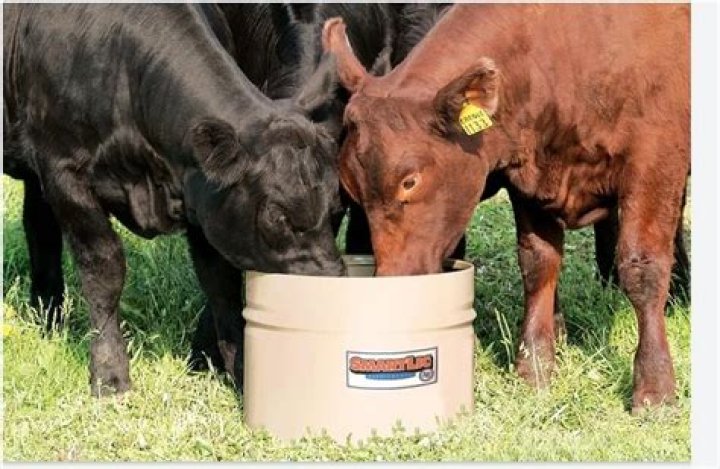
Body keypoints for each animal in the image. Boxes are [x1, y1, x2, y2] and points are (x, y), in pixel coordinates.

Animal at [3, 3, 345, 396]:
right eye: (279, 216)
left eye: (335, 205)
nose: (331, 283)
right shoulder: (63, 173)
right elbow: (104, 270)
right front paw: (110, 375)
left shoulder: (205, 200)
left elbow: (221, 285)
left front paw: (240, 373)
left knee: (38, 227)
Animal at [323, 4, 690, 413]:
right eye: (350, 187)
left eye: (409, 181)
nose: (391, 284)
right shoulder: (530, 179)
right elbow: (538, 262)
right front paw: (535, 368)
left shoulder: (656, 159)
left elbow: (642, 268)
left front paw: (655, 390)